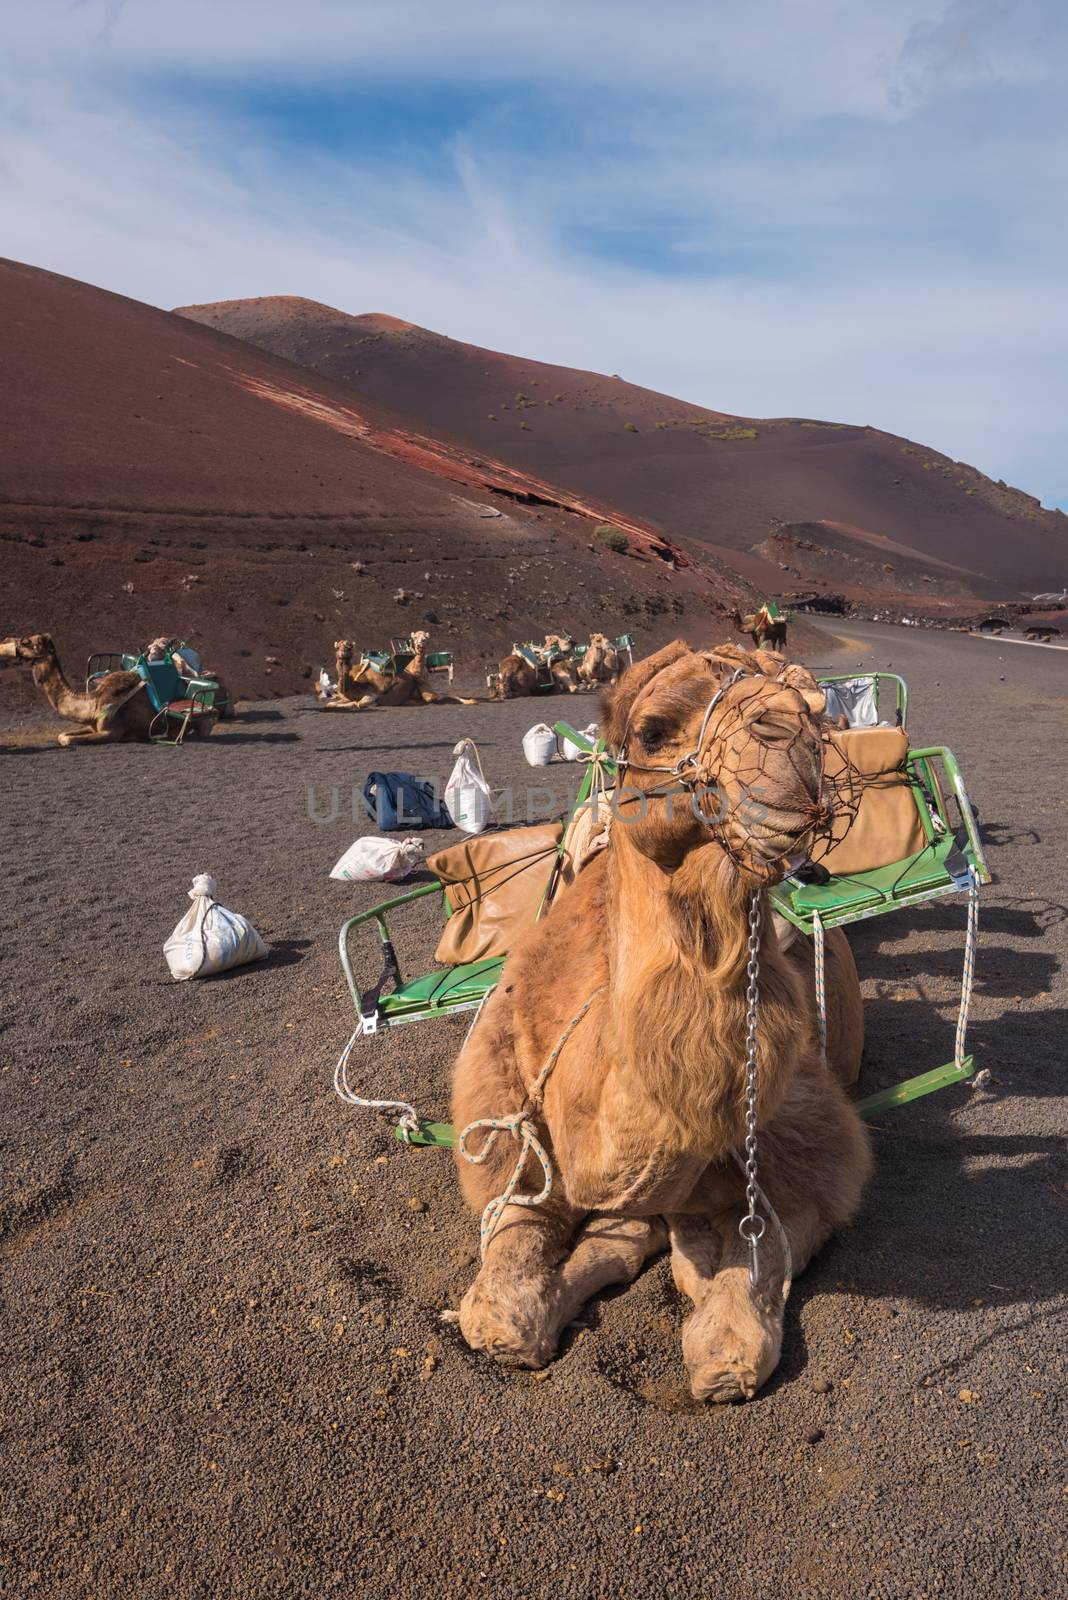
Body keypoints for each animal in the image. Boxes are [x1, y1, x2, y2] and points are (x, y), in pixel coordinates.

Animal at [447, 636, 869, 1401]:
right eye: (652, 730)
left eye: (815, 705)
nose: (786, 738)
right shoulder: (502, 1115)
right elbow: (501, 1301)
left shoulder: (811, 1145)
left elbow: (752, 1266)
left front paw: (723, 1347)